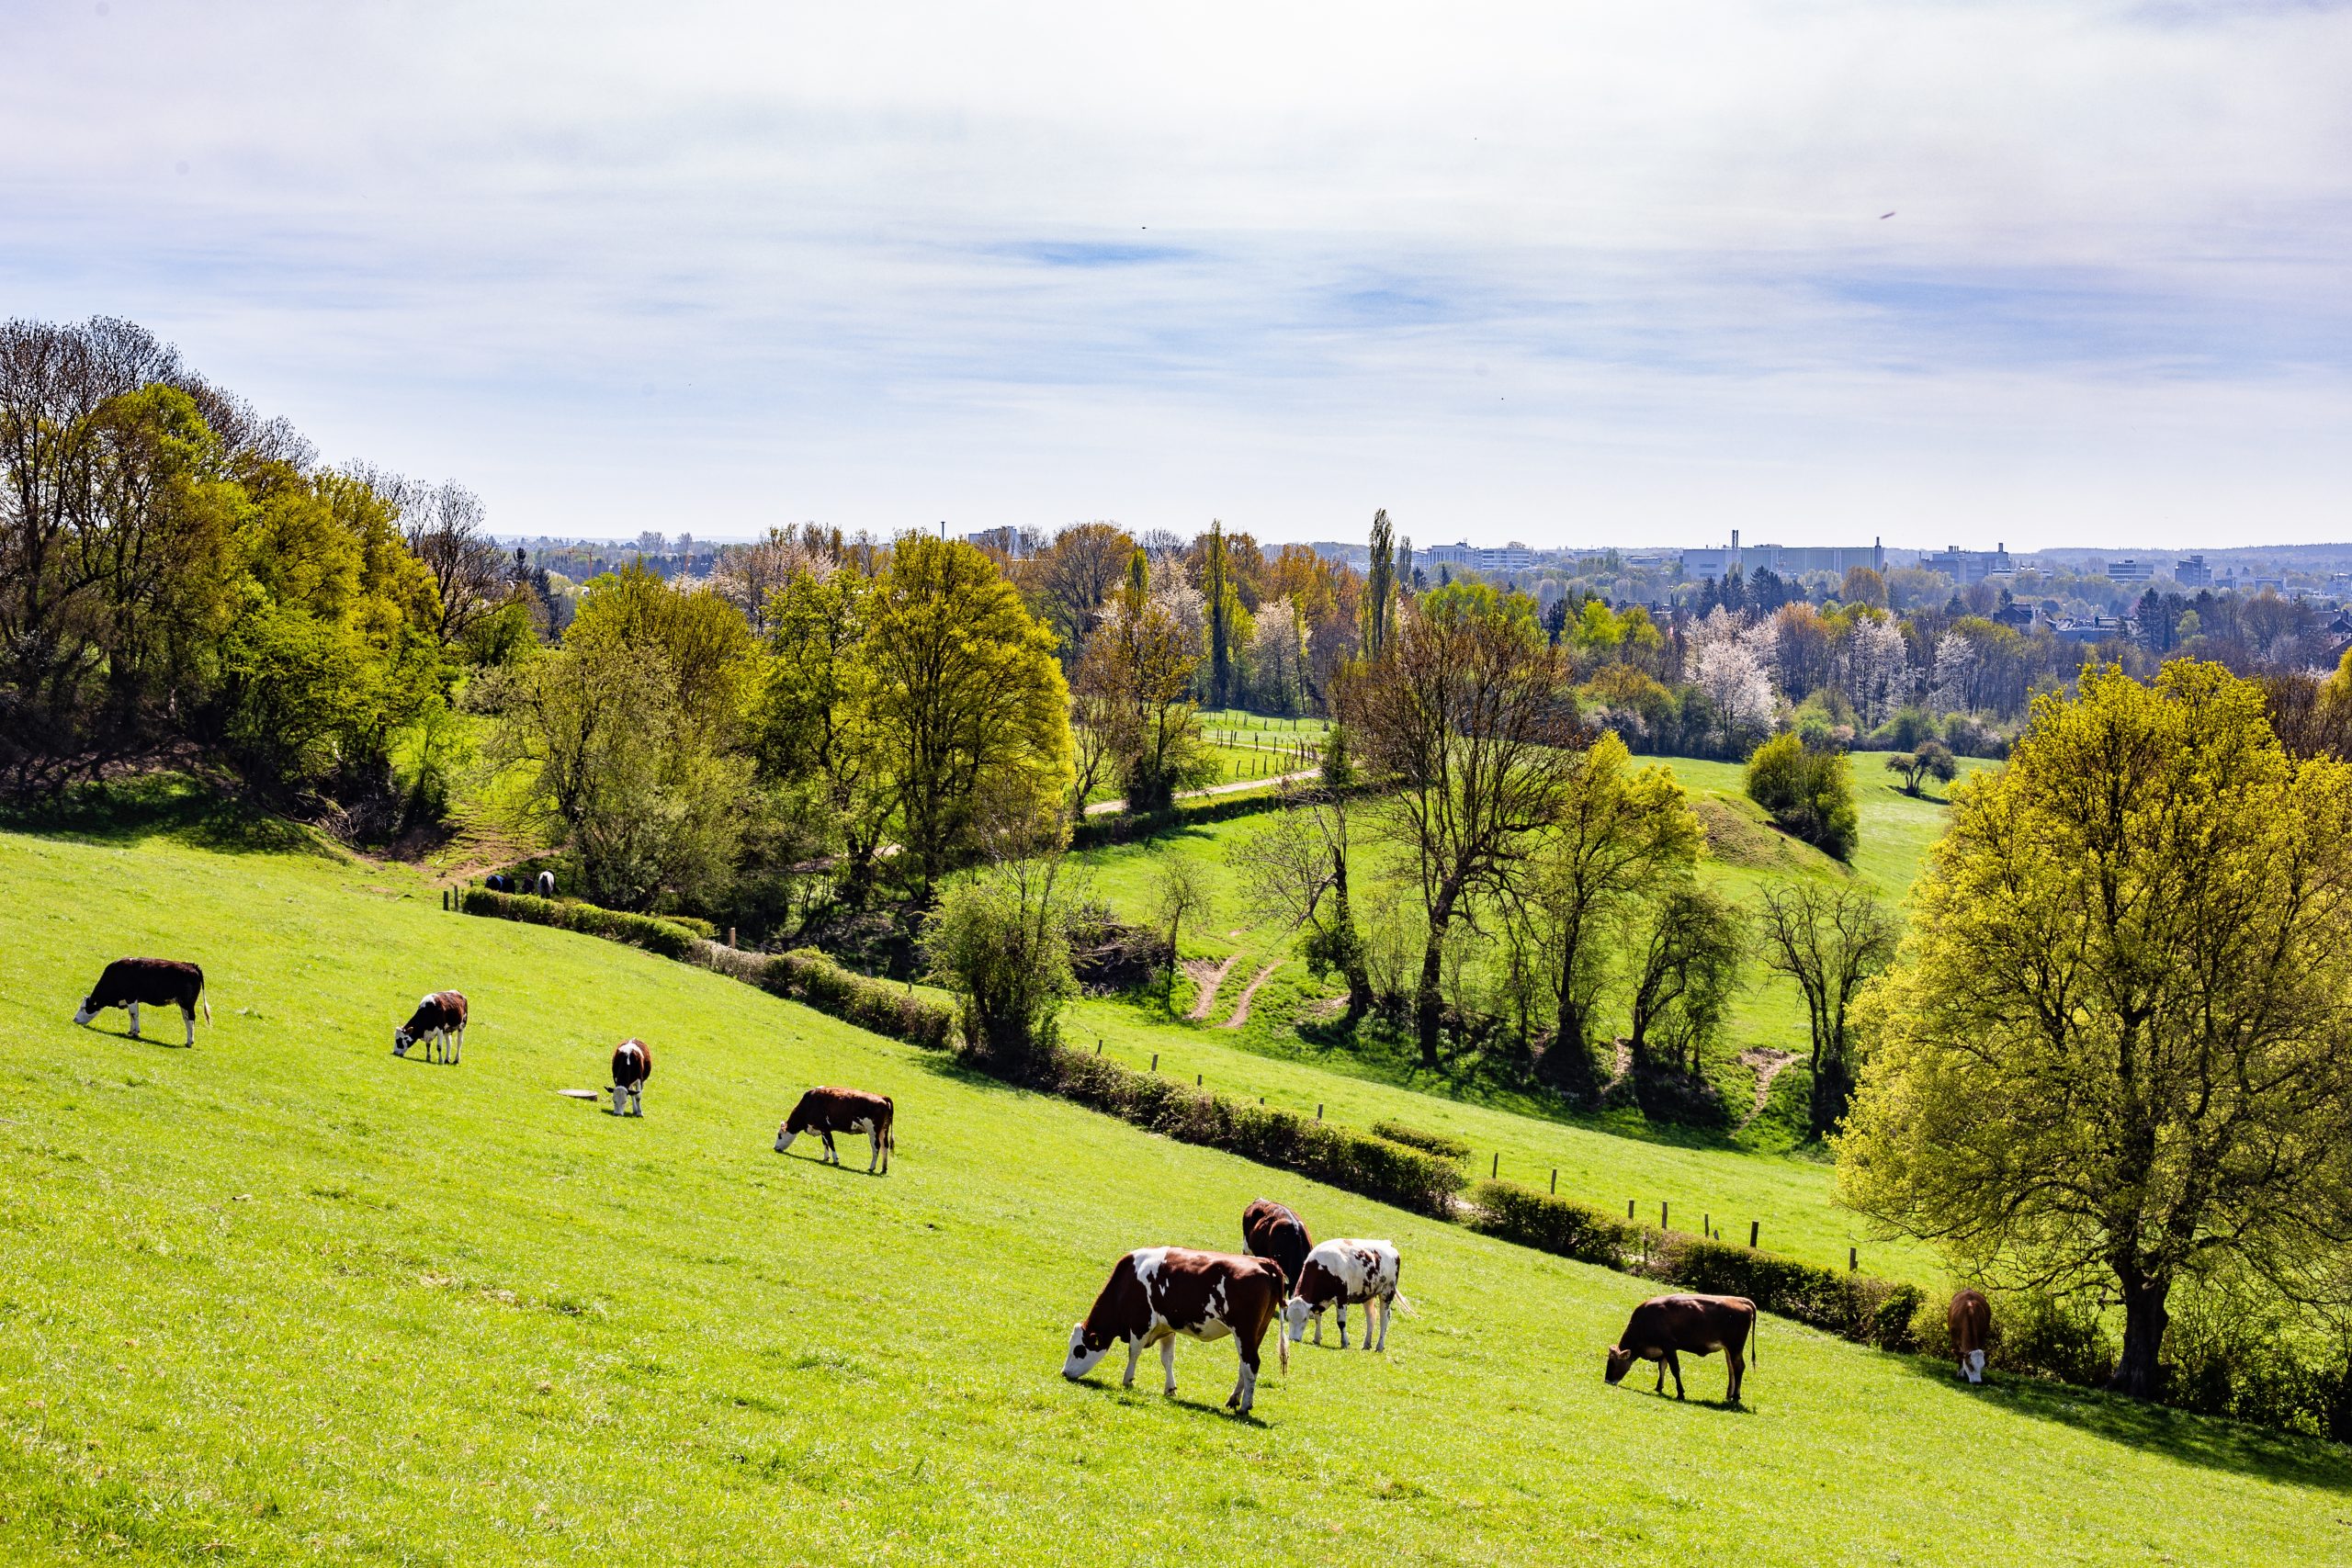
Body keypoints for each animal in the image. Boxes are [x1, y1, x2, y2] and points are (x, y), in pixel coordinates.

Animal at [75, 964, 211, 1048]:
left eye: (83, 1008)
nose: (74, 1019)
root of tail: (192, 965)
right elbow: (131, 1015)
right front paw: (131, 1031)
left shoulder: (131, 997)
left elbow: (134, 1014)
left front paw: (136, 1032)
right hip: (184, 1004)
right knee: (187, 1020)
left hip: (188, 1003)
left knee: (191, 1020)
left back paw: (189, 1042)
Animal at [775, 1090, 893, 1175]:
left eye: (779, 1135)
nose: (775, 1148)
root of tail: (883, 1097)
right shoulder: (822, 1128)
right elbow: (825, 1143)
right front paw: (826, 1157)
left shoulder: (825, 1128)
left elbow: (831, 1143)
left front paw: (835, 1160)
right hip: (884, 1131)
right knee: (885, 1147)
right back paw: (883, 1169)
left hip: (873, 1131)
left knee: (876, 1147)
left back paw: (872, 1167)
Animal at [1063, 1250, 1288, 1419]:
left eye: (1079, 1350)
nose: (1064, 1373)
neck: (1127, 1281)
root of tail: (1264, 1262)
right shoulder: (1166, 1328)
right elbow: (1167, 1359)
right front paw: (1170, 1389)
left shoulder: (1141, 1324)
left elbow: (1133, 1353)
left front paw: (1127, 1380)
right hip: (1256, 1333)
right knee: (1244, 1365)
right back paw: (1234, 1399)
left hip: (1244, 1332)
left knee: (1252, 1364)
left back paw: (1245, 1406)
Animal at [1279, 1241, 1401, 1354]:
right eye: (1288, 1317)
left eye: (1305, 1318)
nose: (1294, 1339)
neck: (1324, 1267)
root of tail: (1387, 1244)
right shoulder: (1318, 1302)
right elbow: (1318, 1318)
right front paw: (1317, 1338)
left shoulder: (1341, 1299)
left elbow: (1341, 1322)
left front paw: (1344, 1342)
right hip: (1368, 1295)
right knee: (1371, 1317)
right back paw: (1366, 1344)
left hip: (1387, 1292)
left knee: (1384, 1319)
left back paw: (1379, 1346)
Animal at [1609, 1297, 1758, 1401]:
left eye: (1614, 1362)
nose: (1607, 1380)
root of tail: (1741, 1301)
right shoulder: (1664, 1349)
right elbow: (1662, 1367)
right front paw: (1659, 1387)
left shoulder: (1668, 1346)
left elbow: (1675, 1370)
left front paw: (1680, 1393)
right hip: (1729, 1349)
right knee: (1731, 1369)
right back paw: (1729, 1394)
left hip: (1735, 1347)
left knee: (1739, 1367)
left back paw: (1736, 1396)